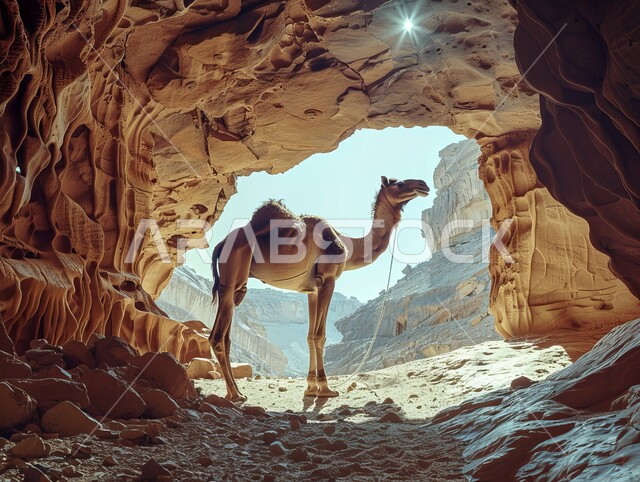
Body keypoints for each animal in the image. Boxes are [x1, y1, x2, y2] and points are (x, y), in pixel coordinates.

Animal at [209, 176, 429, 401]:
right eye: (400, 184)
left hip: (235, 288)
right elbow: (319, 335)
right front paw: (325, 388)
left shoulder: (312, 290)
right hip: (232, 279)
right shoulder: (328, 280)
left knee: (226, 338)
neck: (348, 246)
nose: (423, 184)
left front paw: (310, 387)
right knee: (216, 337)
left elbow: (309, 336)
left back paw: (236, 392)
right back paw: (235, 394)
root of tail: (221, 244)